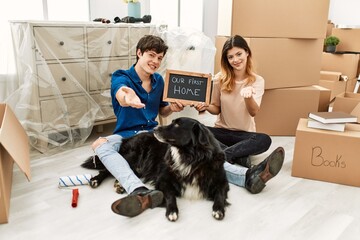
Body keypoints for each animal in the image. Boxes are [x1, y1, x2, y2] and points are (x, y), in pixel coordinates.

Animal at [82, 117, 229, 220]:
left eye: (177, 125)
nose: (154, 129)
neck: (191, 157)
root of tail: (128, 138)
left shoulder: (221, 181)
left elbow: (220, 194)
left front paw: (218, 209)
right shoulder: (163, 180)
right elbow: (170, 195)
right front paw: (172, 211)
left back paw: (119, 185)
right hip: (132, 156)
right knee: (109, 169)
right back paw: (96, 180)